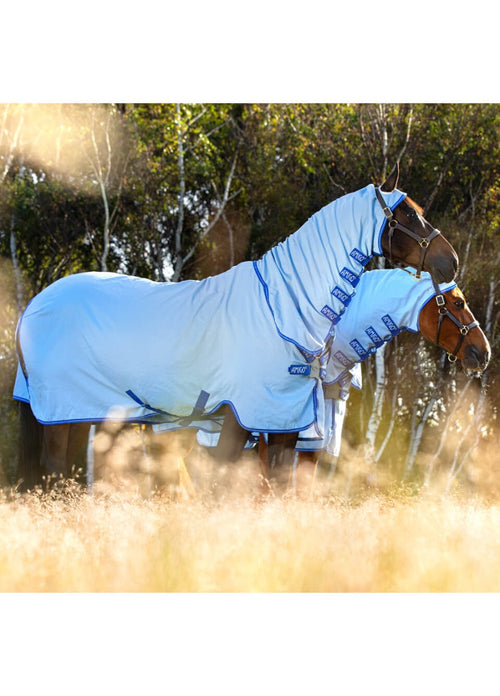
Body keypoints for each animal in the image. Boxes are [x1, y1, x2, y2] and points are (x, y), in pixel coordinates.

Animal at [14, 165, 460, 490]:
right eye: (407, 213)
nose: (450, 261)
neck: (283, 310)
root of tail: (32, 308)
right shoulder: (242, 416)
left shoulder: (282, 423)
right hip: (62, 412)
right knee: (53, 472)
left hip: (68, 416)